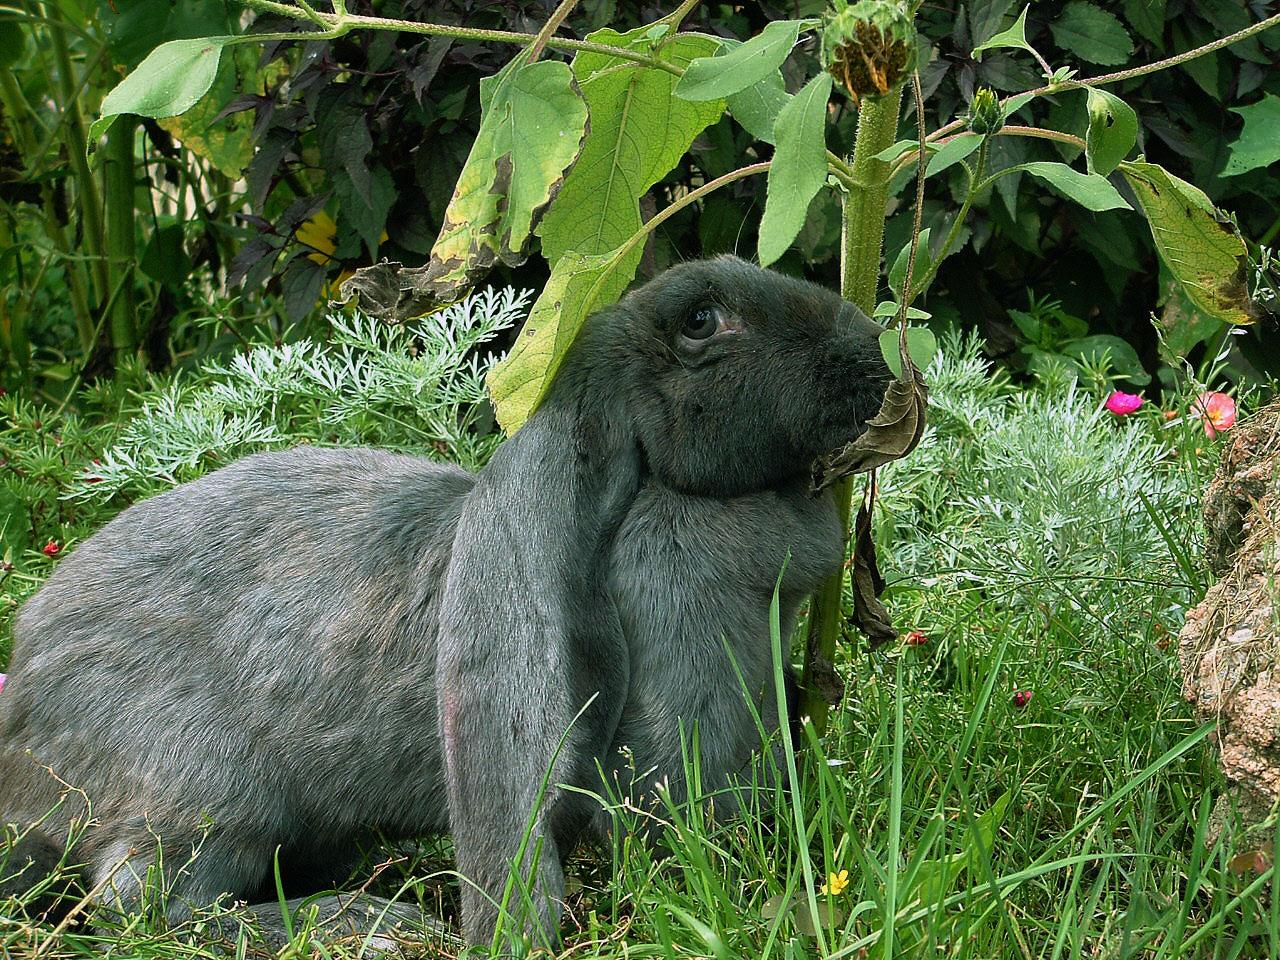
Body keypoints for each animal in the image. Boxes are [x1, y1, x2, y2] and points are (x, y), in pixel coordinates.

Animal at [0, 256, 890, 947]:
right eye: (702, 320)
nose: (873, 350)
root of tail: (23, 738)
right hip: (211, 792)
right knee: (146, 906)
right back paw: (367, 926)